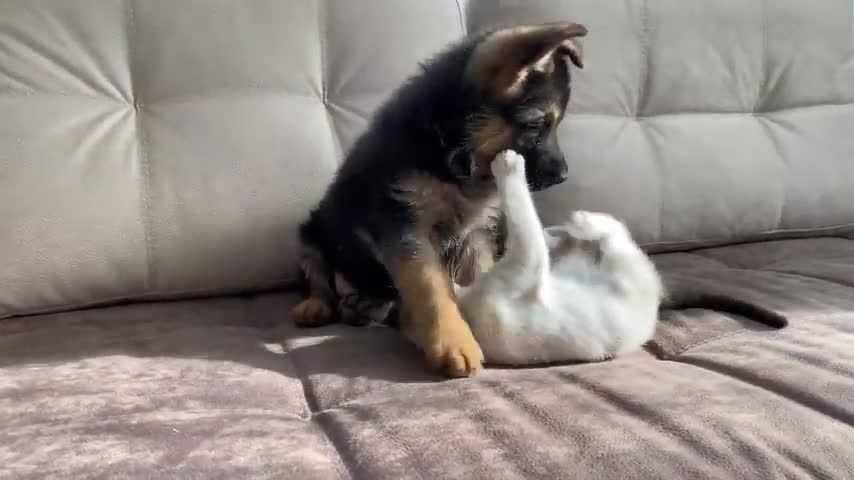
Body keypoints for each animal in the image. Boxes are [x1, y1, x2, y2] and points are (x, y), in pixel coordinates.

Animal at [292, 22, 588, 376]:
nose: (564, 176)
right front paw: (452, 342)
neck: (454, 158)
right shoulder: (404, 224)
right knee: (319, 275)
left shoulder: (476, 234)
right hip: (310, 233)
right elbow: (429, 286)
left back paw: (361, 305)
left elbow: (478, 274)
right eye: (535, 125)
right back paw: (319, 305)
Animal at [454, 150, 668, 364]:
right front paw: (509, 164)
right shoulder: (525, 263)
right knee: (612, 233)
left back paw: (569, 228)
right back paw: (581, 223)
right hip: (620, 260)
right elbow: (521, 211)